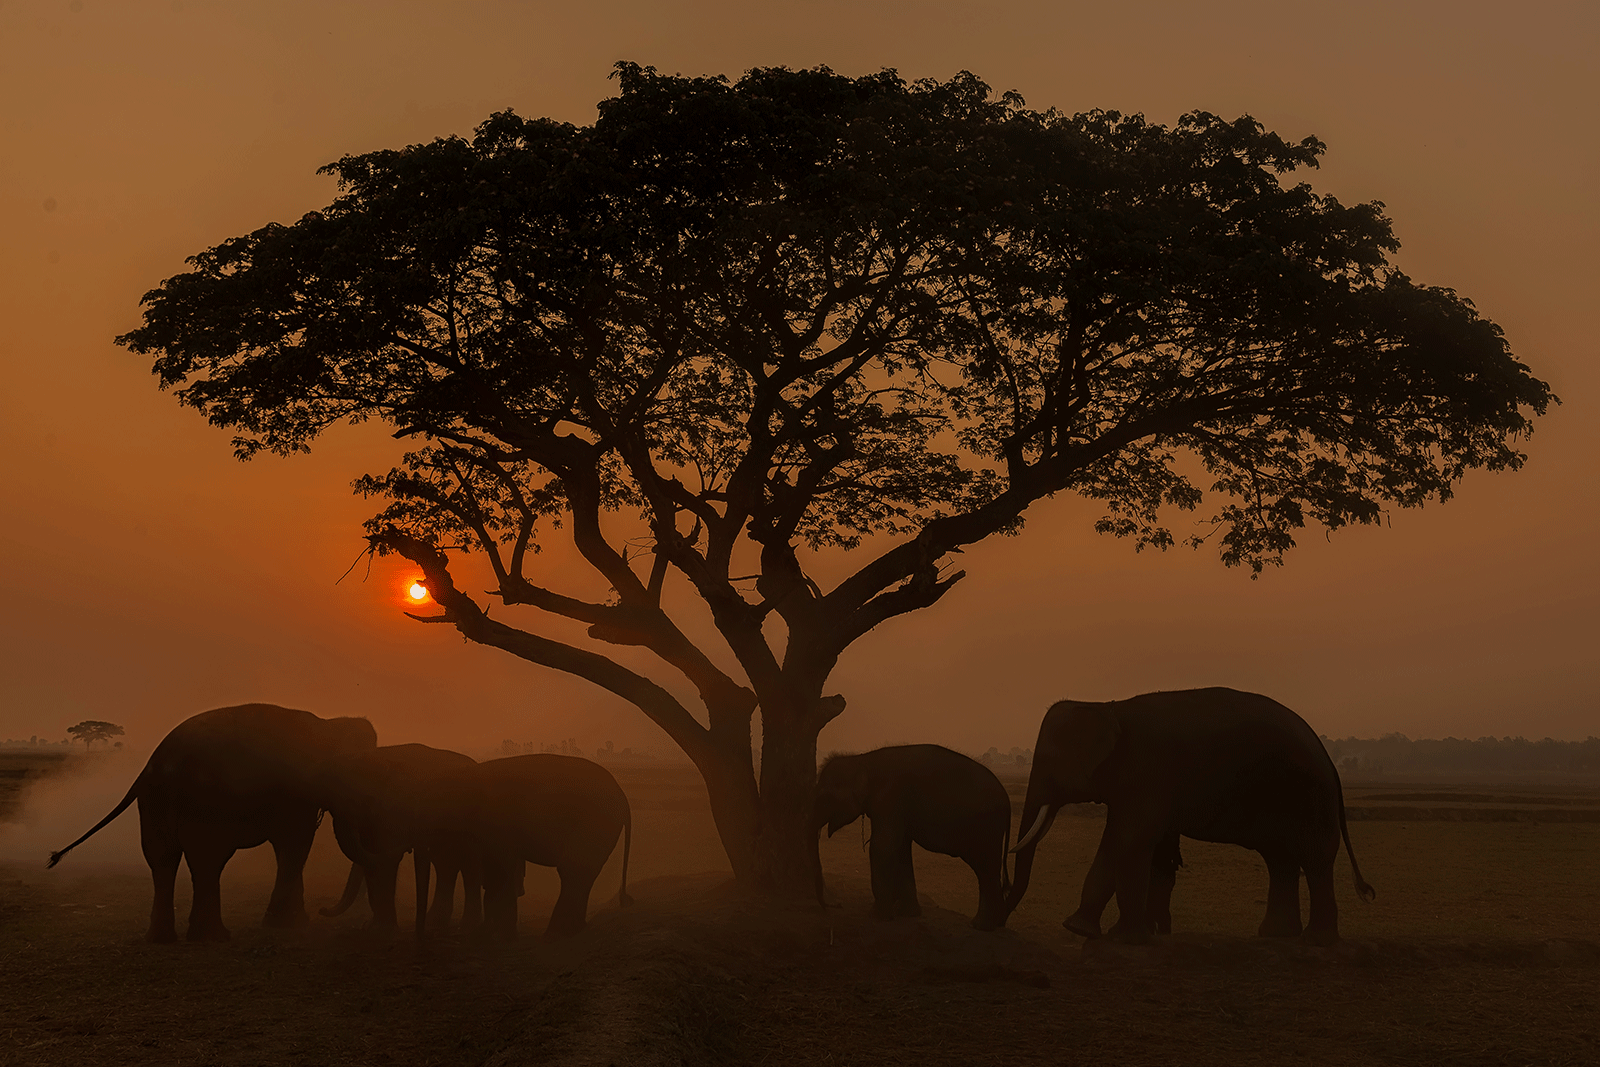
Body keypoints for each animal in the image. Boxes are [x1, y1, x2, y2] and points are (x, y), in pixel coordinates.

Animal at [48, 710, 379, 940]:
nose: (324, 911)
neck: (328, 723)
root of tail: (152, 765)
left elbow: (288, 845)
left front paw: (290, 923)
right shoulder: (297, 792)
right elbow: (295, 843)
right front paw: (290, 925)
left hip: (153, 803)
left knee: (162, 859)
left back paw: (164, 939)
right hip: (201, 804)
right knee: (207, 860)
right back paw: (212, 937)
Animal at [316, 742, 476, 934]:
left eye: (360, 799)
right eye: (328, 805)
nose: (321, 909)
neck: (377, 755)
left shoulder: (396, 806)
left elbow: (384, 856)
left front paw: (383, 929)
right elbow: (372, 855)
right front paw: (373, 927)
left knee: (466, 864)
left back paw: (466, 926)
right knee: (445, 863)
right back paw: (436, 921)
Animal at [409, 751, 633, 940]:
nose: (424, 934)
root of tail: (624, 798)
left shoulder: (497, 823)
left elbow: (501, 867)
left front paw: (497, 935)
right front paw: (489, 933)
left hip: (595, 824)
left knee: (572, 869)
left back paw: (553, 935)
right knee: (580, 874)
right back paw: (571, 931)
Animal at [812, 748, 1011, 927]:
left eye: (824, 798)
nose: (835, 905)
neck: (862, 759)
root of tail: (1007, 799)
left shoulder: (889, 799)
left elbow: (882, 847)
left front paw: (878, 916)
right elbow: (900, 849)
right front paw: (906, 913)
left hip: (986, 828)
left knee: (985, 868)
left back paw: (982, 925)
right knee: (988, 870)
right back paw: (993, 924)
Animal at [1004, 687, 1369, 947]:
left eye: (1049, 761)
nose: (1005, 912)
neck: (1106, 706)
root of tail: (1328, 758)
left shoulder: (1147, 773)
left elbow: (1128, 838)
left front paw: (1104, 935)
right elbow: (1133, 843)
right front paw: (1099, 932)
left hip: (1311, 796)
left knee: (1315, 858)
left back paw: (1315, 941)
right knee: (1280, 858)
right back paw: (1276, 936)